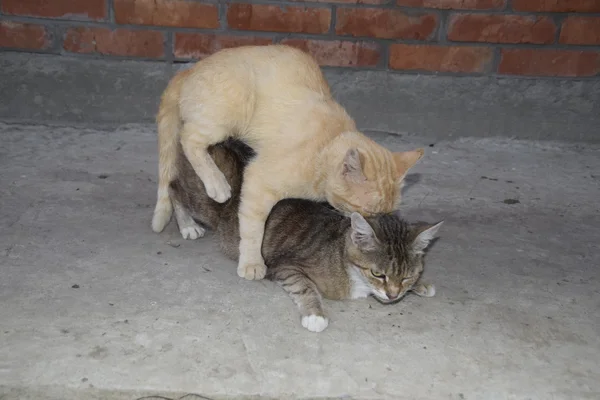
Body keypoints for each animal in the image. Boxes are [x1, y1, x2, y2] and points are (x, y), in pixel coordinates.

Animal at [155, 43, 426, 282]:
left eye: (387, 213)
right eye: (369, 212)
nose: (377, 226)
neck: (325, 146)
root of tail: (189, 70)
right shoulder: (258, 181)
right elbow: (252, 229)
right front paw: (252, 262)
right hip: (229, 112)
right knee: (187, 141)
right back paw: (214, 187)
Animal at [168, 139, 440, 332]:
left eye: (407, 276)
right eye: (377, 274)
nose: (393, 295)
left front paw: (420, 286)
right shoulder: (285, 266)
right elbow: (304, 287)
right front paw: (315, 315)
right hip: (206, 201)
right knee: (174, 188)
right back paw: (187, 225)